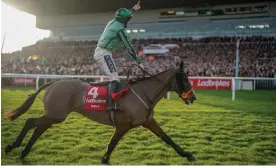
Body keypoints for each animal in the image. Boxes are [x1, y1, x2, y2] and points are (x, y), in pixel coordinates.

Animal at [4, 61, 198, 165]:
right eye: (185, 78)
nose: (193, 98)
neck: (143, 93)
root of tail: (53, 83)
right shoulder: (123, 125)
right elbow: (112, 143)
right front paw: (105, 159)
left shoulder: (148, 121)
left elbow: (167, 138)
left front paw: (188, 155)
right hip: (56, 114)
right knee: (31, 121)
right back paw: (13, 146)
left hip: (54, 115)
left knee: (38, 128)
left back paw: (23, 151)